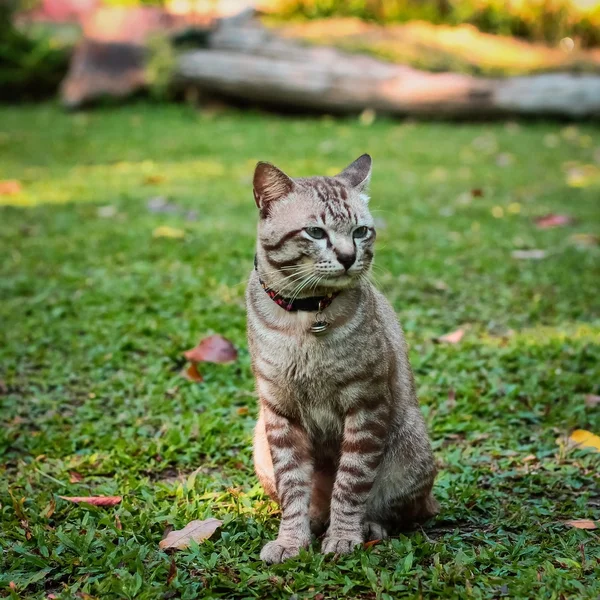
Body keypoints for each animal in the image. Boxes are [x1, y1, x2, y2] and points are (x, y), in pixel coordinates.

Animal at [246, 154, 438, 564]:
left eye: (361, 231)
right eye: (316, 233)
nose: (349, 257)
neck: (306, 317)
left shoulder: (365, 404)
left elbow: (350, 485)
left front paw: (344, 537)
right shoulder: (280, 412)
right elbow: (294, 490)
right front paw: (291, 541)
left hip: (410, 446)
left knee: (398, 510)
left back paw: (368, 528)